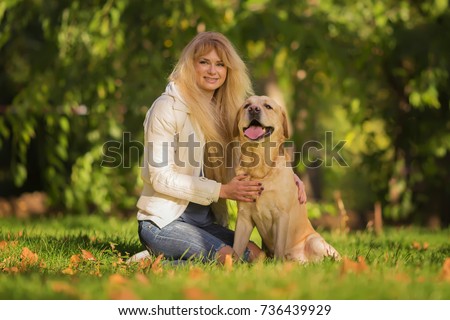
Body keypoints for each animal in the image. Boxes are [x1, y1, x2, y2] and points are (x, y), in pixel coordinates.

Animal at [232, 96, 342, 264]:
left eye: (268, 106)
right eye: (247, 105)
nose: (253, 110)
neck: (260, 166)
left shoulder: (281, 215)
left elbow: (279, 245)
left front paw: (277, 265)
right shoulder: (244, 216)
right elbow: (236, 248)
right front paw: (230, 264)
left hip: (315, 242)